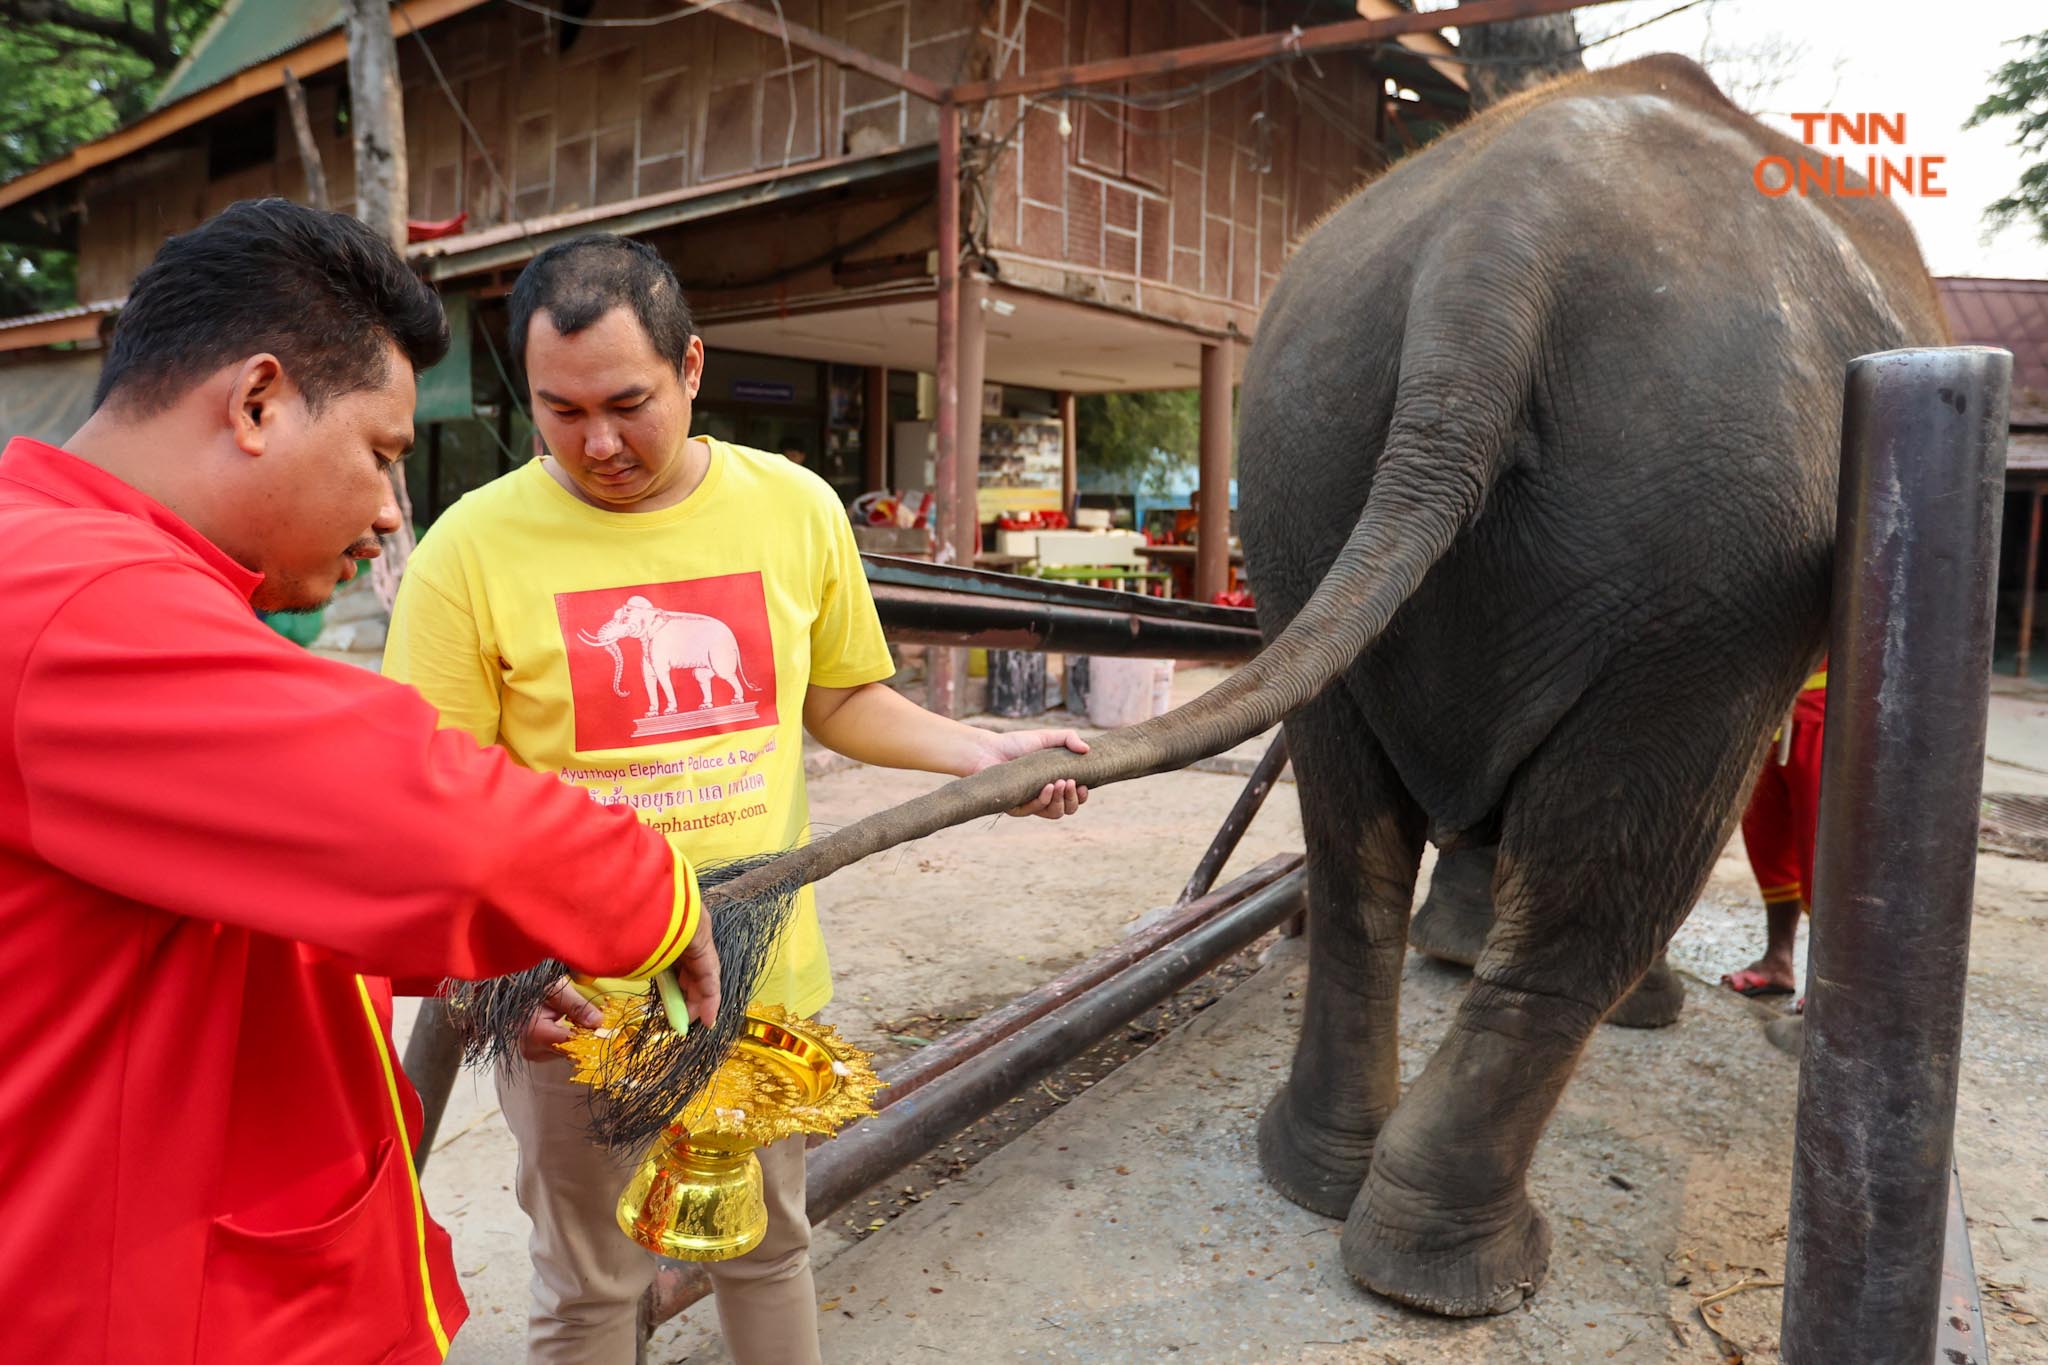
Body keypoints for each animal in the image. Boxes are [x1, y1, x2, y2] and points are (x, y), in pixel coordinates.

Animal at [581, 601, 757, 724]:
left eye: (625, 618)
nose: (626, 692)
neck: (651, 613)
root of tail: (733, 639)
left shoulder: (659, 646)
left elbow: (661, 674)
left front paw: (669, 711)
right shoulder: (647, 648)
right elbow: (648, 677)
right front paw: (650, 714)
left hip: (719, 651)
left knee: (725, 674)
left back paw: (737, 700)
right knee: (700, 675)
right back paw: (705, 706)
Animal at [700, 56, 1933, 1326]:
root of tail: (1501, 248)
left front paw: (1452, 942)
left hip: (1316, 470)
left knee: (1350, 844)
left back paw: (1317, 1175)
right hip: (1708, 573)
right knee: (1609, 875)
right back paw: (1454, 1269)